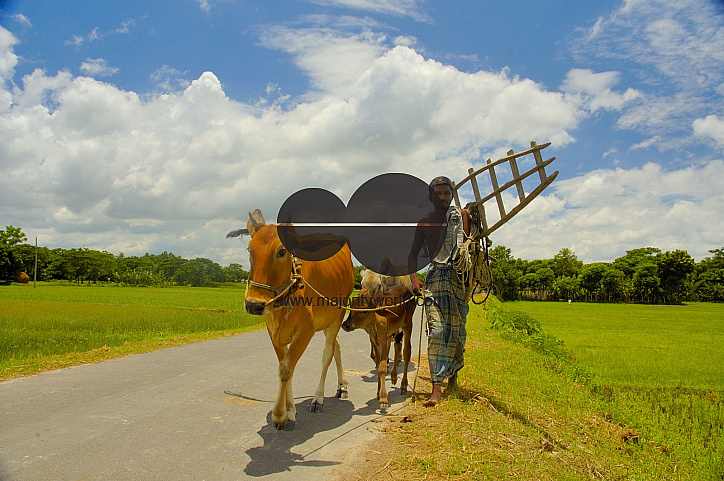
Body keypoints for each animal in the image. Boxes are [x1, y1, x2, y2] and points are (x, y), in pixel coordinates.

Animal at [228, 209, 354, 430]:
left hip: (337, 315)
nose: (253, 305)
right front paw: (290, 411)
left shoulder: (305, 331)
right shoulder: (273, 331)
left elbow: (286, 368)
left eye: (281, 251)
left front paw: (279, 415)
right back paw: (342, 386)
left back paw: (318, 399)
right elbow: (285, 364)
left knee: (328, 353)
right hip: (327, 319)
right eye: (250, 249)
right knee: (337, 347)